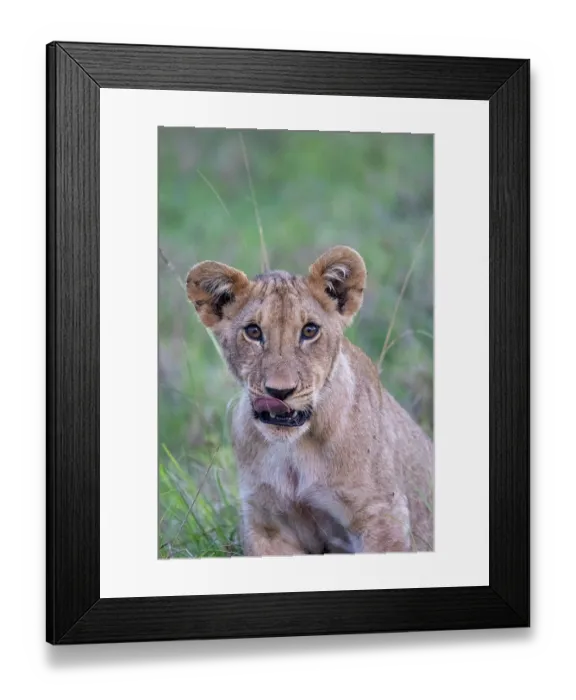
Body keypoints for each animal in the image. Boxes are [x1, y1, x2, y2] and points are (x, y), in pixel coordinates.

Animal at [186, 245, 434, 556]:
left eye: (309, 331)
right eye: (253, 332)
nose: (279, 392)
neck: (294, 452)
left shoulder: (382, 514)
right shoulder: (267, 525)